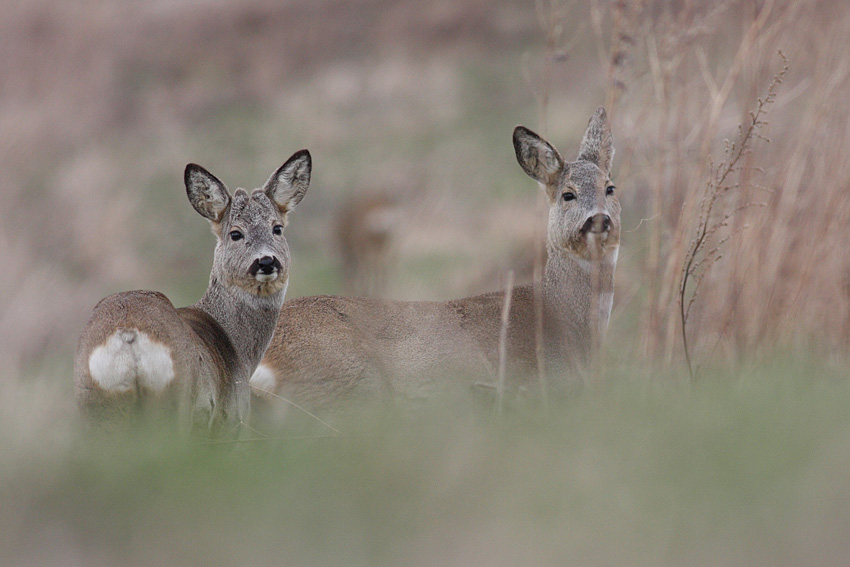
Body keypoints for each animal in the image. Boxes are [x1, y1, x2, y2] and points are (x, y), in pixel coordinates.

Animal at [73, 149, 312, 432]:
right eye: (235, 233)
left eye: (277, 228)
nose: (266, 261)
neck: (239, 350)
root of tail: (128, 336)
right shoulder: (230, 422)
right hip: (177, 402)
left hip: (95, 406)